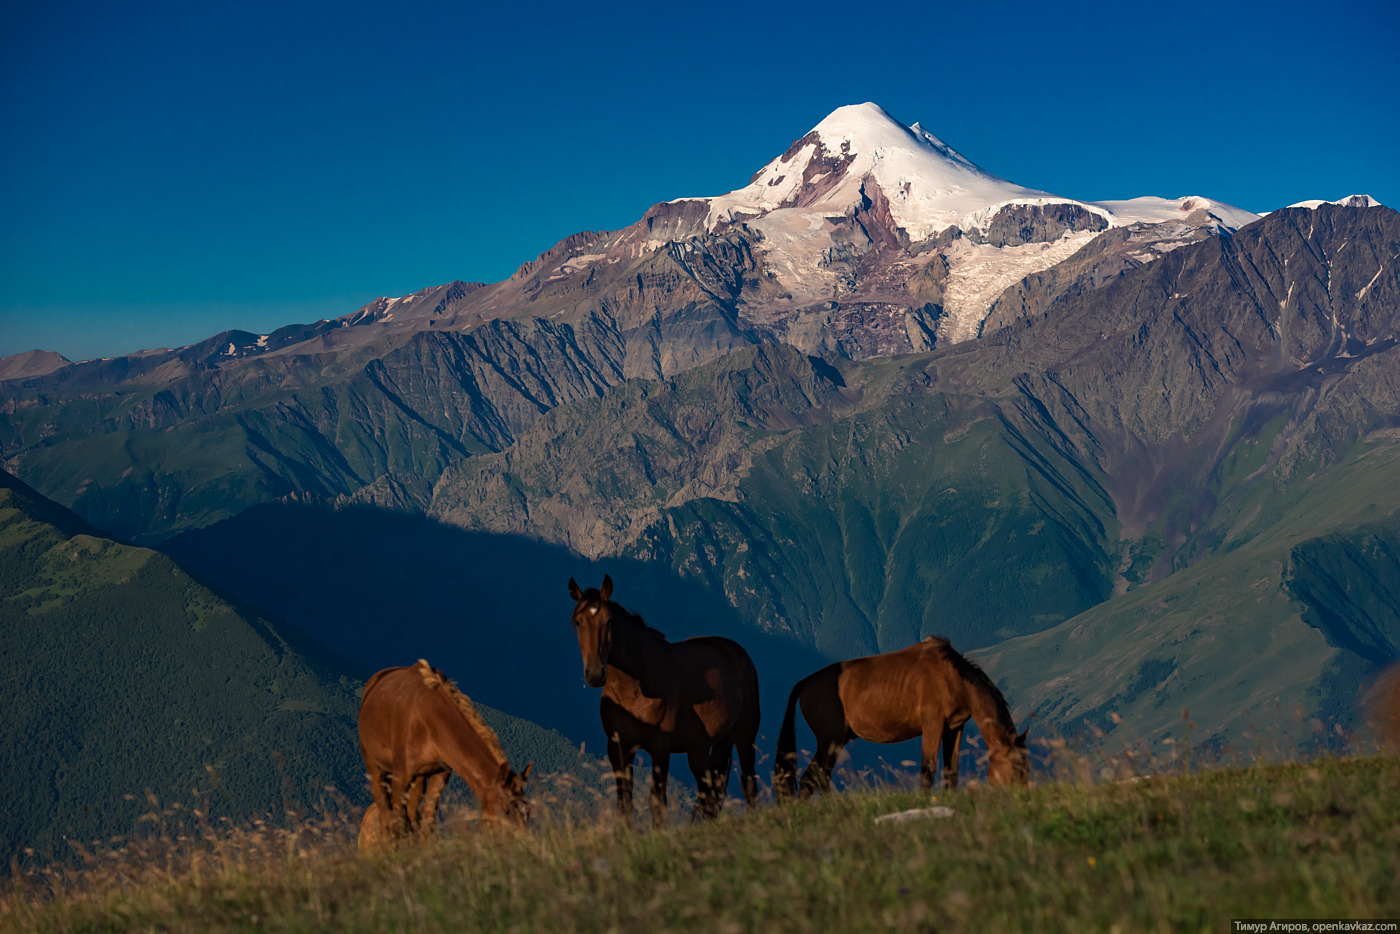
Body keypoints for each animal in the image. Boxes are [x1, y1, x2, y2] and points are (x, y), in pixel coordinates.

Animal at [358, 658, 532, 840]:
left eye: (529, 810)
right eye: (506, 811)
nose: (522, 842)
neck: (427, 720)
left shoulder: (440, 773)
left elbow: (427, 824)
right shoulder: (401, 776)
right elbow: (397, 823)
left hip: (419, 779)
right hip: (374, 765)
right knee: (385, 810)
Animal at [565, 576, 761, 823]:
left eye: (608, 621)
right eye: (579, 622)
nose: (594, 674)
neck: (633, 688)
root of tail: (739, 654)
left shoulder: (660, 748)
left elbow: (657, 801)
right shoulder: (618, 748)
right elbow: (624, 801)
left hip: (745, 737)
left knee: (748, 784)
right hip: (701, 747)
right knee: (708, 792)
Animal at [778, 638, 1030, 800]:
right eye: (1016, 769)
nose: (1022, 797)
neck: (955, 679)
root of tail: (805, 683)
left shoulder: (954, 728)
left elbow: (951, 772)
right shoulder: (932, 726)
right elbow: (928, 770)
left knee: (815, 778)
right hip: (830, 740)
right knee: (815, 778)